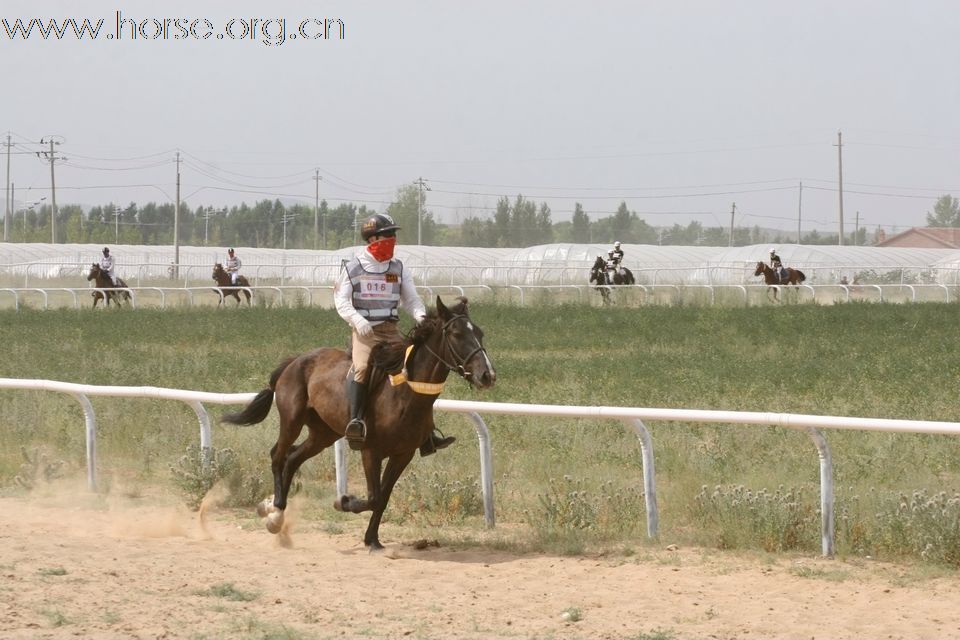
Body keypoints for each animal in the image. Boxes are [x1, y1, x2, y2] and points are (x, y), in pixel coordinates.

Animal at [222, 296, 498, 552]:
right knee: (278, 455)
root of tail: (295, 360)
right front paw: (343, 502)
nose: (488, 375)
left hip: (323, 434)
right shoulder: (370, 451)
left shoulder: (403, 454)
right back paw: (274, 512)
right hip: (292, 420)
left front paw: (372, 539)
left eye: (480, 333)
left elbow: (383, 497)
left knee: (292, 458)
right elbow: (374, 497)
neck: (405, 396)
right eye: (457, 334)